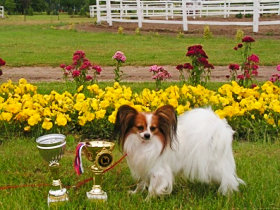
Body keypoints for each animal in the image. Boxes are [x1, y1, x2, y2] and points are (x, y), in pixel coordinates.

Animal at [115, 105, 244, 199]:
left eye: (153, 128)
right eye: (140, 127)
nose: (147, 135)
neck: (145, 145)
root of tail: (218, 130)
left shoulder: (158, 170)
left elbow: (153, 187)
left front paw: (148, 200)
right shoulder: (144, 166)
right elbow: (141, 183)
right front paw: (135, 193)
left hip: (214, 167)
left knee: (229, 178)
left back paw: (228, 193)